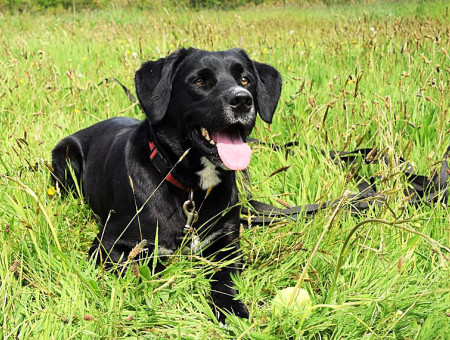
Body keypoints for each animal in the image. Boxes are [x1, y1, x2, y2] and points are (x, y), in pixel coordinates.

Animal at [51, 47, 280, 322]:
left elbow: (224, 279)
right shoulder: (107, 245)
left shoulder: (227, 244)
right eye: (199, 81)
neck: (192, 189)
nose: (242, 100)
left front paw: (232, 310)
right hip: (66, 155)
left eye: (246, 80)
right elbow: (149, 264)